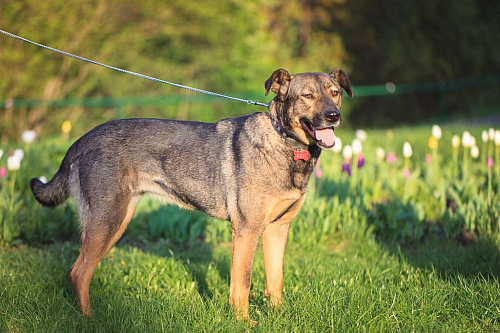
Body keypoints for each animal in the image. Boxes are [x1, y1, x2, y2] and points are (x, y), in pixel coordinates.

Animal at [30, 67, 352, 320]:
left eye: (335, 93)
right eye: (307, 96)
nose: (333, 116)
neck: (285, 143)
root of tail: (80, 141)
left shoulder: (277, 229)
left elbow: (275, 279)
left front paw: (278, 316)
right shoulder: (247, 230)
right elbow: (243, 282)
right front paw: (243, 322)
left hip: (118, 221)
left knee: (77, 271)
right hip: (106, 221)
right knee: (78, 273)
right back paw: (89, 319)